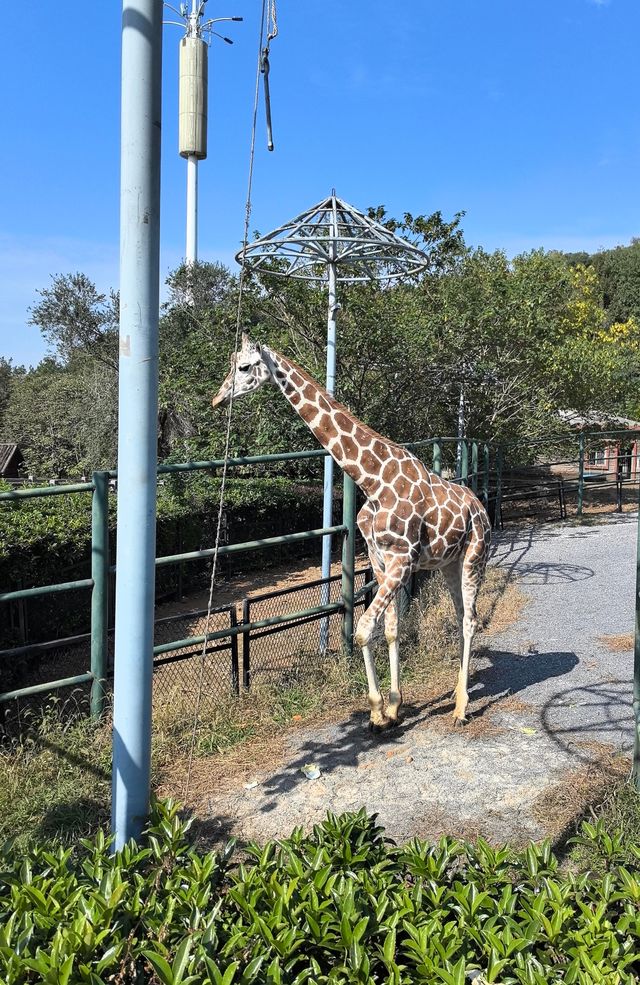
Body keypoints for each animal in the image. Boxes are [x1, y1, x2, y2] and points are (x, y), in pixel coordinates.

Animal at [212, 338, 492, 732]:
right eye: (231, 362)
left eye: (244, 367)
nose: (217, 399)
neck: (372, 481)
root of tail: (480, 507)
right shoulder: (380, 559)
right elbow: (388, 629)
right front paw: (391, 708)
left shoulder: (402, 560)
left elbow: (361, 629)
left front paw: (377, 712)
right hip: (448, 565)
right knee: (460, 615)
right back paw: (455, 694)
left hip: (474, 558)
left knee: (469, 621)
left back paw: (462, 708)